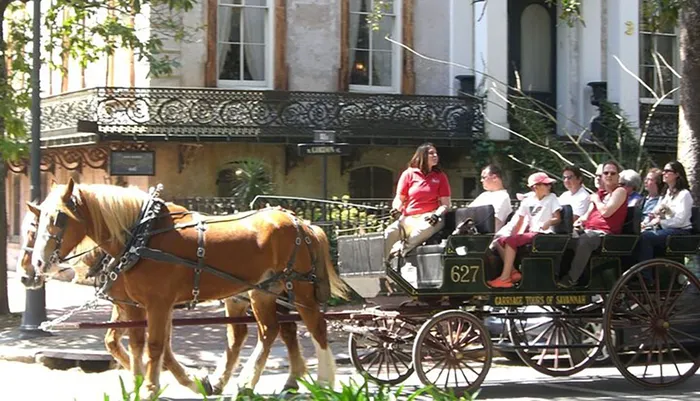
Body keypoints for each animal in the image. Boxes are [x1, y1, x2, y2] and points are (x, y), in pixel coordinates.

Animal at [28, 180, 348, 396]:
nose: (38, 264)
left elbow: (156, 345)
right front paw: (140, 383)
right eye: (37, 222)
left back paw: (319, 380)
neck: (141, 236)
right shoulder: (134, 305)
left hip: (297, 288)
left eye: (59, 218)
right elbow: (136, 344)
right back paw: (275, 380)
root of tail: (301, 222)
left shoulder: (158, 303)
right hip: (265, 291)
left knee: (310, 327)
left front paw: (153, 386)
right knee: (272, 330)